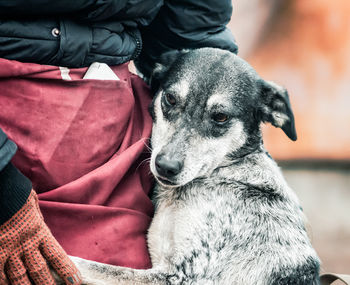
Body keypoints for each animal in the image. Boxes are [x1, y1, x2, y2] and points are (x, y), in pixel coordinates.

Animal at [62, 47, 320, 282]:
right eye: (170, 98)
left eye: (221, 117)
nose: (166, 166)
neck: (221, 173)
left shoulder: (181, 276)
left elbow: (87, 266)